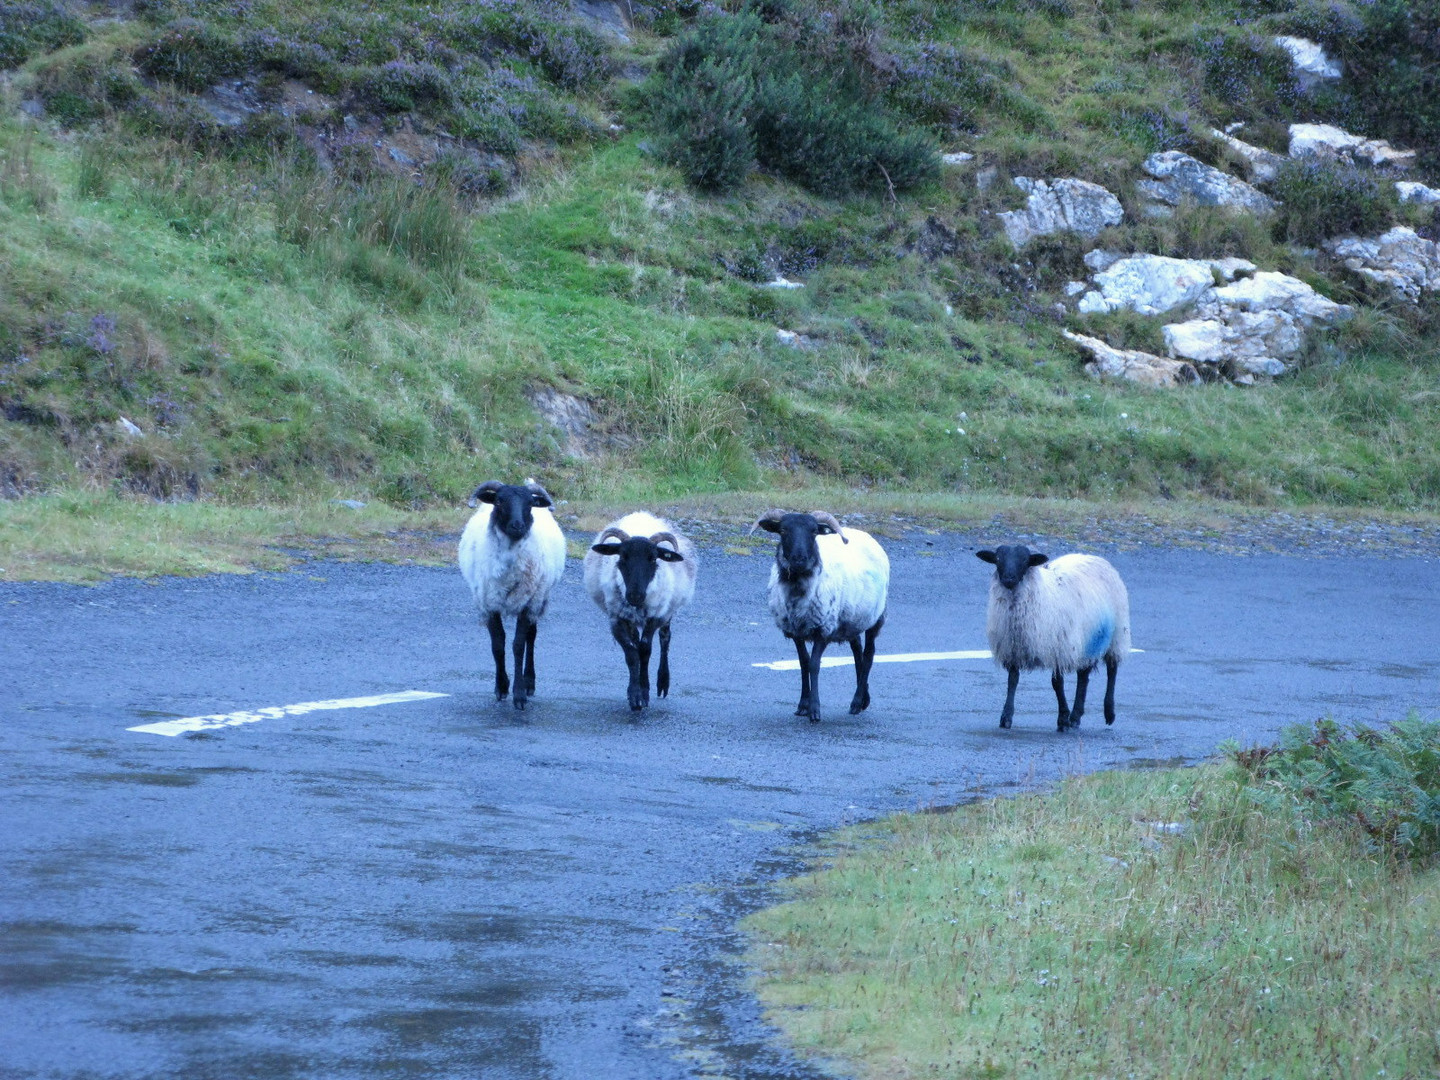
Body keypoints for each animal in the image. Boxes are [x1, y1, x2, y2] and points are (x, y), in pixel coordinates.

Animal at [457, 480, 564, 711]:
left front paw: (519, 693)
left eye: (530, 503)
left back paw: (530, 681)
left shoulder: (527, 603)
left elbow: (518, 646)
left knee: (531, 638)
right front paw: (501, 687)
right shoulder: (488, 604)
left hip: (538, 597)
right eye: (499, 501)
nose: (517, 526)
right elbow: (498, 645)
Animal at [581, 512, 699, 714]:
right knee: (636, 640)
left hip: (668, 611)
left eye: (653, 558)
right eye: (622, 556)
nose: (635, 595)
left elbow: (645, 651)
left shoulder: (655, 617)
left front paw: (644, 692)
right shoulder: (617, 618)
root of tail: (643, 514)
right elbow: (631, 653)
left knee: (665, 639)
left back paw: (663, 682)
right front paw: (635, 695)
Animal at [754, 509, 887, 728]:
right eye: (783, 530)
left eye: (814, 531)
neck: (799, 590)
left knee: (868, 655)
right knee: (857, 651)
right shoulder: (795, 630)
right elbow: (803, 663)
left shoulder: (823, 628)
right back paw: (864, 699)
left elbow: (815, 665)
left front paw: (815, 710)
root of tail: (864, 534)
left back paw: (857, 701)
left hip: (875, 616)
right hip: (850, 618)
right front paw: (803, 705)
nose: (799, 559)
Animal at [973, 544, 1128, 731]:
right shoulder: (1014, 648)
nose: (1008, 578)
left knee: (1112, 670)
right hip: (1087, 641)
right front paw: (1006, 716)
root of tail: (1094, 557)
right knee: (1083, 675)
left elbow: (1057, 683)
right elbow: (1013, 680)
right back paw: (1076, 716)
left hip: (1117, 634)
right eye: (997, 559)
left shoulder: (1058, 648)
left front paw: (1062, 718)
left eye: (1024, 560)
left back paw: (1109, 712)